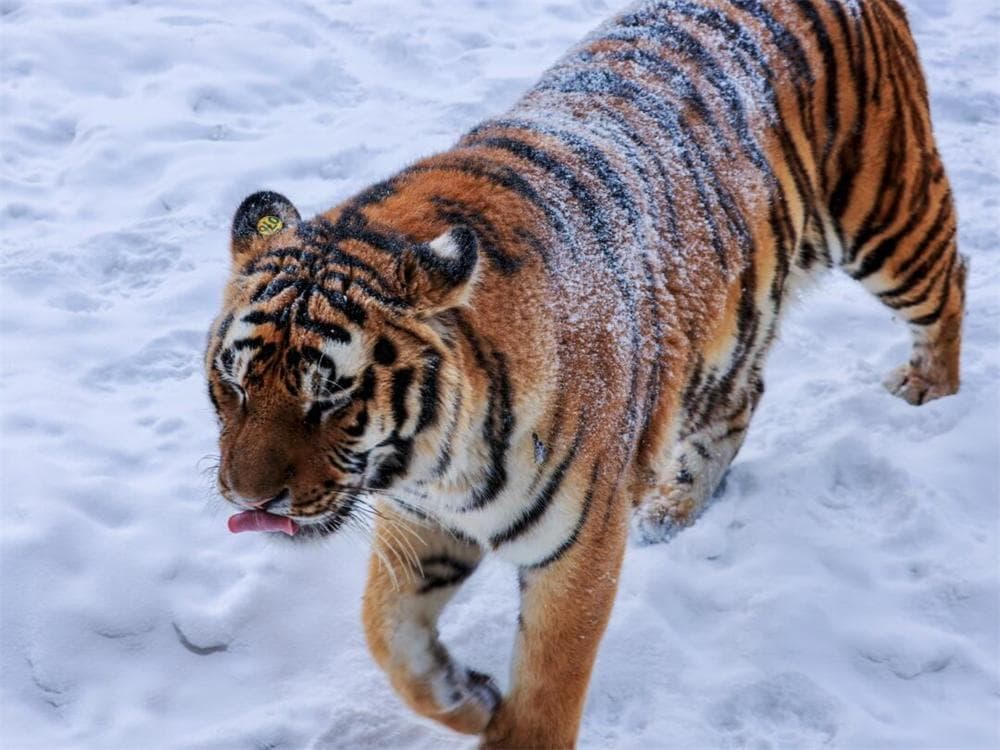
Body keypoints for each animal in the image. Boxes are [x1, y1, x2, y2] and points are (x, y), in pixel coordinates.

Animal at [204, 0, 966, 747]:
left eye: (332, 399)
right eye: (234, 387)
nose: (249, 500)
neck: (434, 463)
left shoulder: (580, 550)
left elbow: (548, 686)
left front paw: (506, 721)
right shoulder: (420, 523)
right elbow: (386, 633)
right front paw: (467, 699)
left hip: (889, 218)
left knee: (950, 281)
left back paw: (931, 389)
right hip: (728, 335)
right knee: (743, 398)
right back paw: (673, 507)